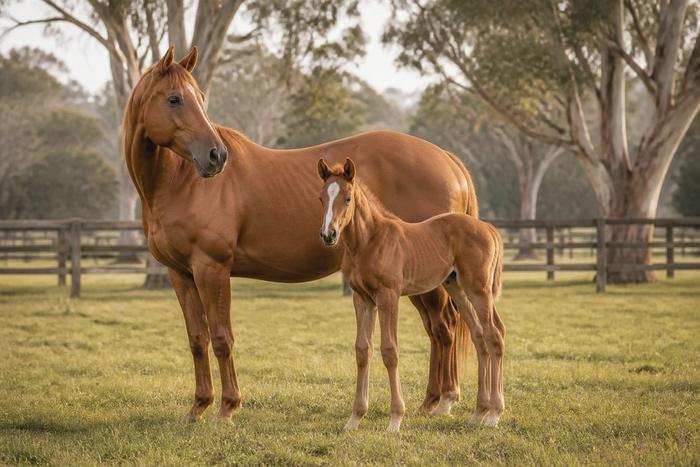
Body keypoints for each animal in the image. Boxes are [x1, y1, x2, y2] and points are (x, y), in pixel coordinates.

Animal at [123, 46, 479, 421]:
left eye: (201, 98)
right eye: (175, 98)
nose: (216, 156)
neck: (180, 183)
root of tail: (448, 160)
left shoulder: (211, 268)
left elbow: (221, 338)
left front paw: (227, 407)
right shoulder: (180, 274)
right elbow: (197, 339)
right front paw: (198, 407)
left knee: (444, 326)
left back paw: (444, 400)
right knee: (437, 328)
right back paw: (431, 401)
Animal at [317, 158, 505, 431]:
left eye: (348, 198)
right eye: (321, 197)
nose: (328, 234)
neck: (370, 241)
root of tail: (489, 229)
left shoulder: (388, 296)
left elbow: (390, 351)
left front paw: (395, 418)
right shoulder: (362, 299)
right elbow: (362, 350)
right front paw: (355, 418)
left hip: (478, 289)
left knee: (494, 334)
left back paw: (494, 414)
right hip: (456, 287)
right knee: (479, 336)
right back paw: (478, 412)